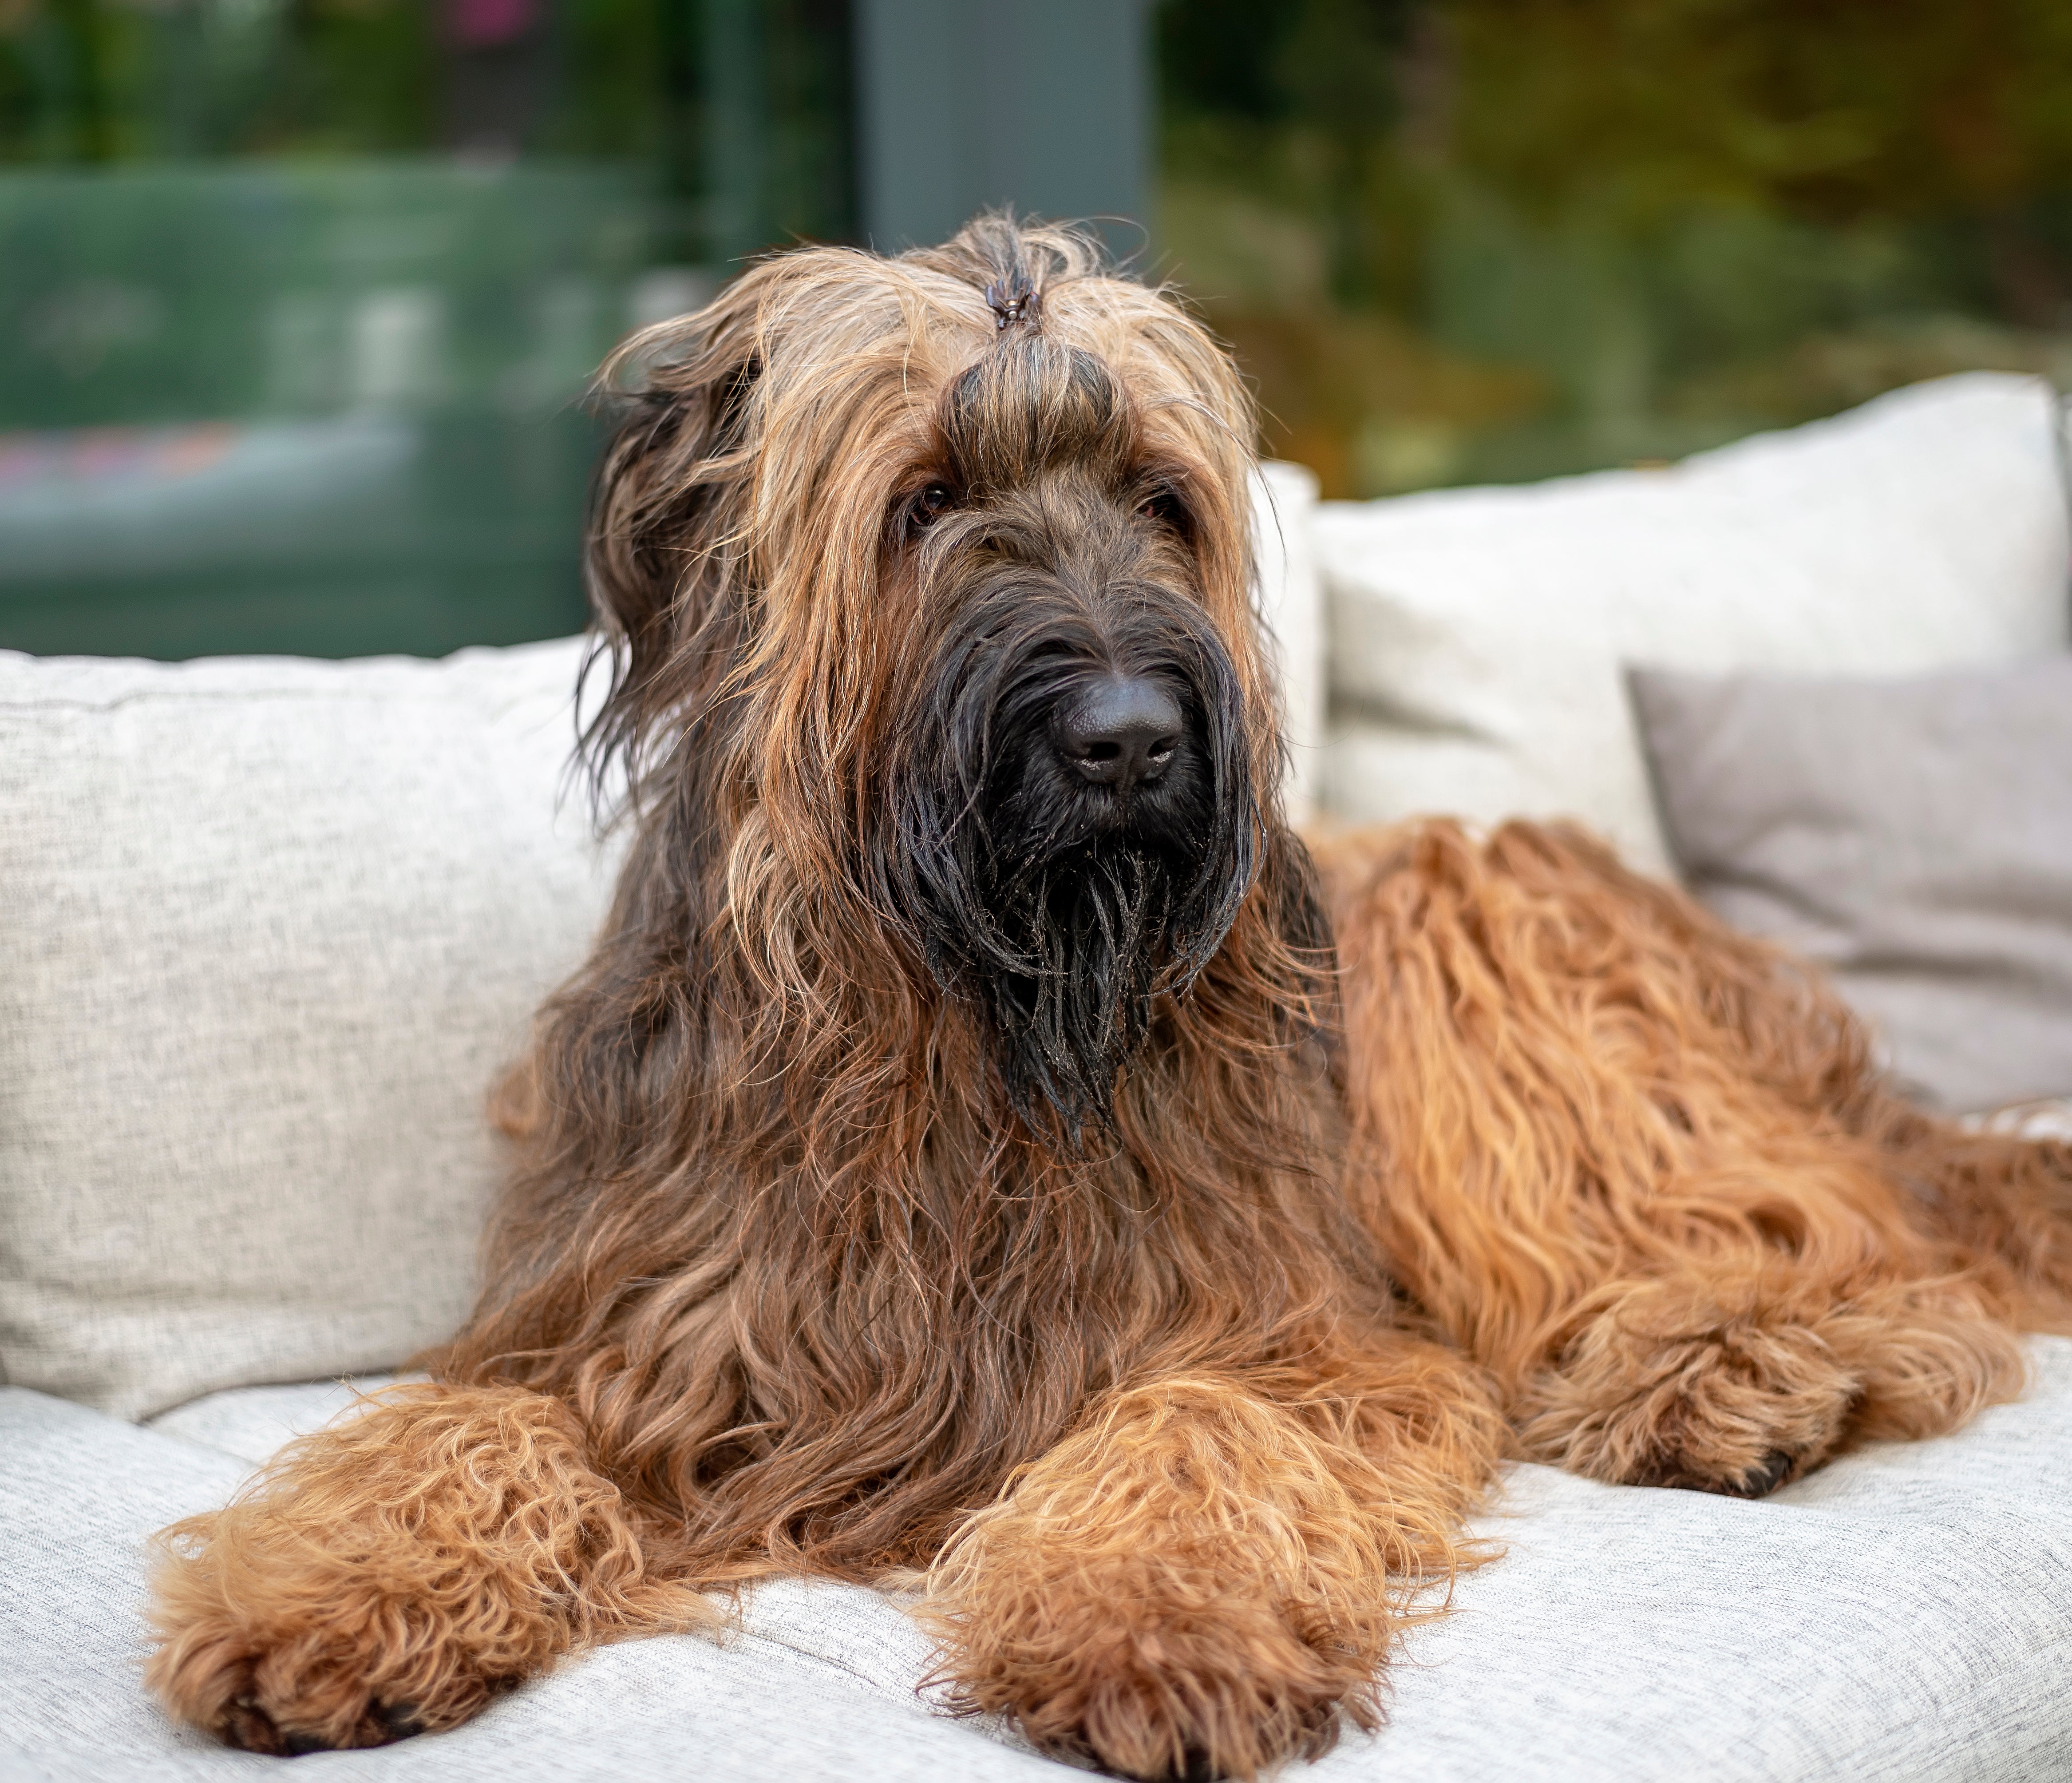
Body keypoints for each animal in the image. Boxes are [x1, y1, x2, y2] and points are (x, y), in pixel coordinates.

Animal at [146, 215, 2072, 1775]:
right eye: (923, 503)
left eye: (1160, 498)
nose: (1131, 737)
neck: (965, 1026)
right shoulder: (630, 1331)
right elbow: (464, 1416)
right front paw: (320, 1593)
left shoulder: (1295, 1330)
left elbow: (1204, 1411)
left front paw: (1163, 1629)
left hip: (1474, 920)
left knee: (1848, 1244)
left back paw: (1733, 1368)